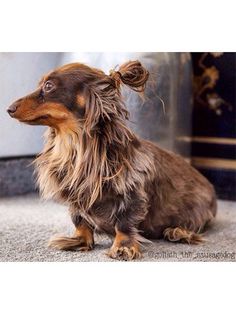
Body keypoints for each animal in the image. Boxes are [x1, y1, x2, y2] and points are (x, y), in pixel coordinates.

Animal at [7, 59, 218, 260]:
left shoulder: (131, 194)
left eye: (49, 86)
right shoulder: (75, 197)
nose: (9, 109)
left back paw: (178, 231)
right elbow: (80, 222)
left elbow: (124, 223)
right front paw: (78, 240)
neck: (78, 147)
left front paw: (124, 247)